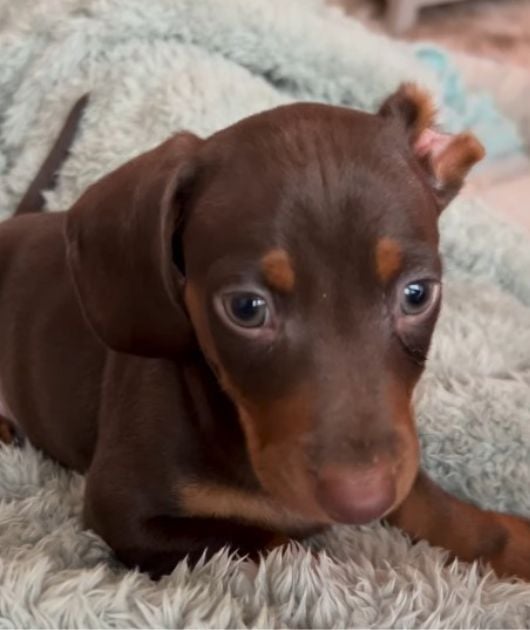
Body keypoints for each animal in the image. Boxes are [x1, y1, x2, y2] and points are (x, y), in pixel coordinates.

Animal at [1, 85, 528, 584]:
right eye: (246, 308)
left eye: (418, 294)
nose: (362, 500)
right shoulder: (127, 511)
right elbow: (281, 546)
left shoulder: (397, 448)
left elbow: (436, 507)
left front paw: (511, 540)